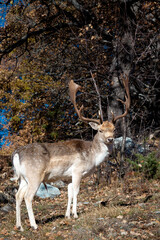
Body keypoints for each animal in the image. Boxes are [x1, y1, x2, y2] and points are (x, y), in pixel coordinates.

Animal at [12, 76, 130, 231]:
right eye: (100, 130)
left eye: (114, 129)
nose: (110, 139)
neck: (93, 157)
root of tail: (17, 154)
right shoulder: (77, 171)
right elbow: (76, 191)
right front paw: (75, 215)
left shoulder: (67, 177)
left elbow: (69, 194)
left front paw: (67, 215)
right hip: (34, 175)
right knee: (28, 196)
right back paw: (34, 225)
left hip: (23, 178)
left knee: (18, 195)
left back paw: (19, 226)